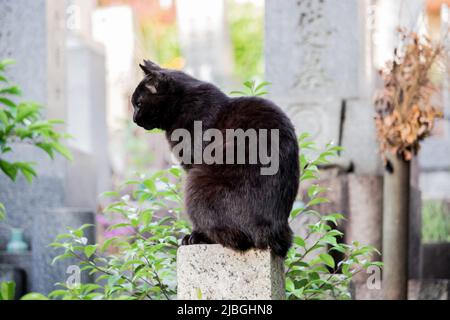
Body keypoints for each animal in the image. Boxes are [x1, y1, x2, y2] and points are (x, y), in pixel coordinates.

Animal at [130, 60, 298, 256]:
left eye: (138, 103)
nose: (133, 119)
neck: (183, 103)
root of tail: (273, 230)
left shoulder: (193, 162)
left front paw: (194, 235)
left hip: (196, 182)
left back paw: (197, 238)